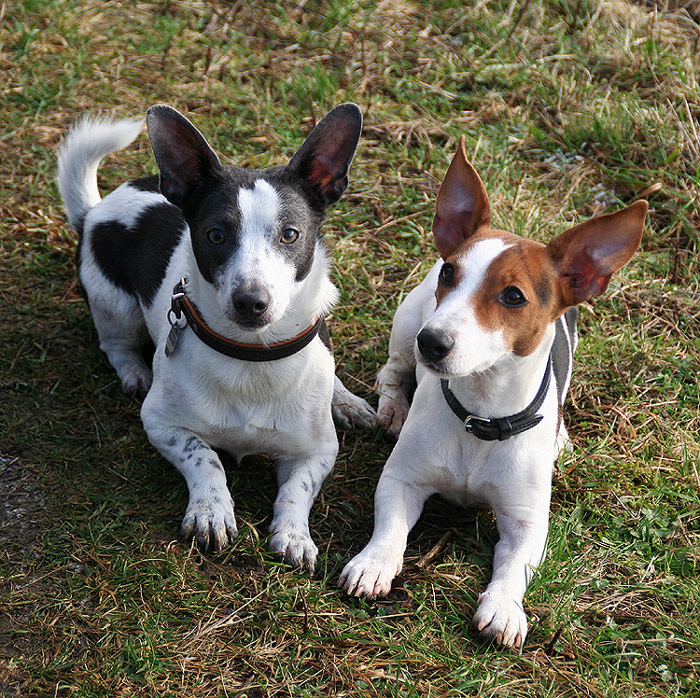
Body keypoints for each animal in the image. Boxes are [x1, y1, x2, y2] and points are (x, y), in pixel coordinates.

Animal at [58, 104, 378, 572]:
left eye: (290, 234)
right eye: (215, 235)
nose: (251, 301)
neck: (251, 355)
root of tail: (97, 209)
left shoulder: (317, 451)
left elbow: (296, 491)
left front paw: (293, 534)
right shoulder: (162, 424)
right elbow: (205, 458)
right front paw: (211, 511)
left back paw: (347, 401)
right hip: (113, 303)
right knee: (115, 343)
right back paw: (134, 371)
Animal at [340, 137, 644, 648]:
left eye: (513, 297)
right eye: (449, 273)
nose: (432, 341)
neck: (480, 414)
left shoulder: (527, 522)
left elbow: (514, 568)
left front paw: (503, 607)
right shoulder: (402, 480)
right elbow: (391, 527)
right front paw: (375, 562)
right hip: (406, 321)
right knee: (391, 371)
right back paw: (393, 408)